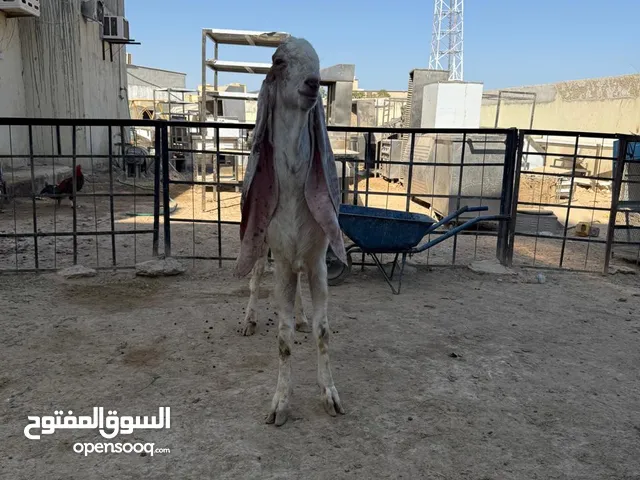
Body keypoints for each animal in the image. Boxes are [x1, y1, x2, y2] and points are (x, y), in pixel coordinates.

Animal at [235, 36, 347, 427]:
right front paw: (280, 404)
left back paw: (299, 317)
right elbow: (282, 341)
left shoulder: (317, 260)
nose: (313, 83)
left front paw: (330, 395)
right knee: (255, 281)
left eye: (318, 63)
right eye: (278, 60)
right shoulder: (281, 258)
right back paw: (249, 321)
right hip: (261, 246)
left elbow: (323, 330)